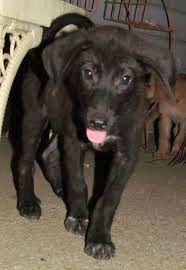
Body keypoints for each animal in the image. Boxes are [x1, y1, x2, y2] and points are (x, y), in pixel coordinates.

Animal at [10, 13, 177, 260]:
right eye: (88, 73)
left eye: (126, 78)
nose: (98, 122)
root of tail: (43, 45)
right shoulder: (74, 142)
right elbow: (78, 182)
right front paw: (79, 216)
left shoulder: (127, 153)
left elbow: (109, 198)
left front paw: (99, 238)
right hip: (34, 116)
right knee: (25, 161)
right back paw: (29, 202)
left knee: (48, 152)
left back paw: (60, 188)